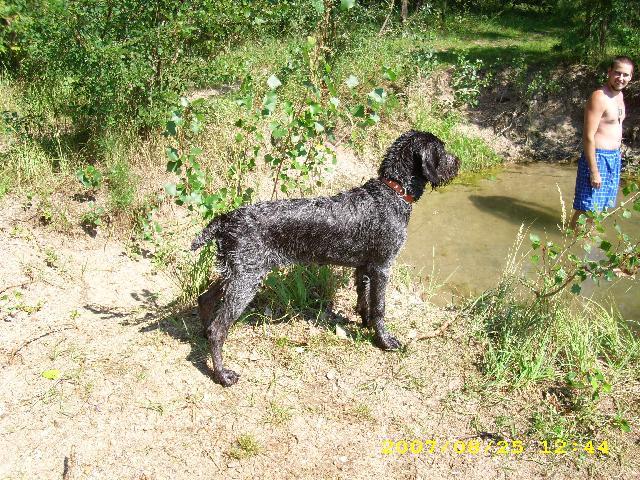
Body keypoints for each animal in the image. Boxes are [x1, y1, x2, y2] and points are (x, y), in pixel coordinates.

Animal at [190, 131, 460, 386]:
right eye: (442, 149)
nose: (457, 161)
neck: (392, 191)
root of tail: (226, 220)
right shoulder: (382, 267)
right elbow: (379, 307)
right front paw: (384, 340)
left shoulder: (364, 267)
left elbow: (364, 300)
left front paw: (364, 324)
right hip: (245, 280)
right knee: (218, 329)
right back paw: (222, 374)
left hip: (233, 272)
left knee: (204, 300)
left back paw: (203, 336)